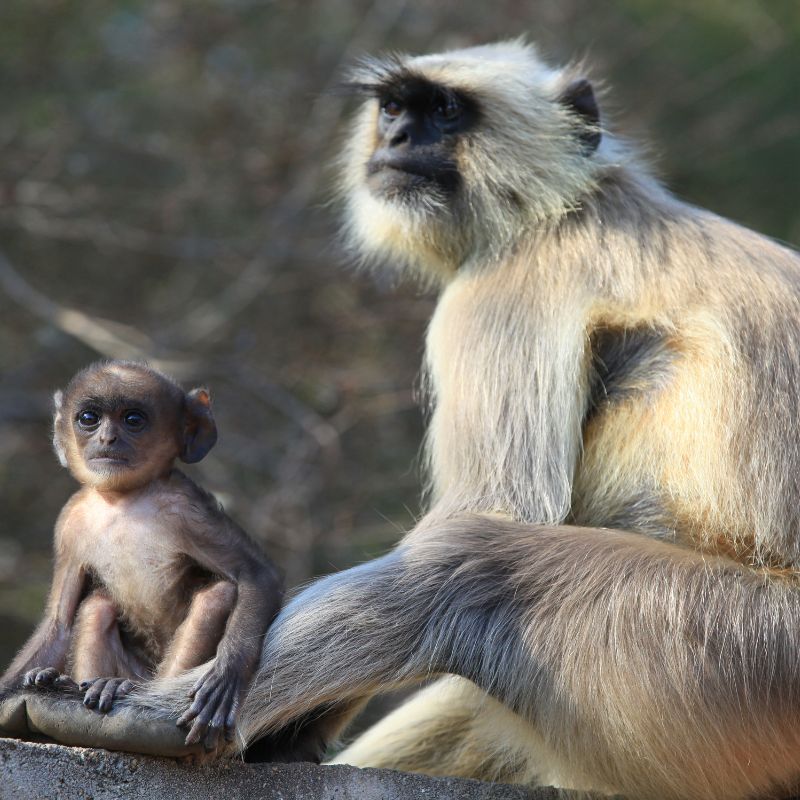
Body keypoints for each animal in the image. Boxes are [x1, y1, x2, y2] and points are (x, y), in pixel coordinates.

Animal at [0, 362, 282, 752]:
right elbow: (59, 620)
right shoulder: (70, 522)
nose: (107, 439)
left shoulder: (186, 505)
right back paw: (83, 685)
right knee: (96, 605)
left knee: (218, 594)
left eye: (133, 419)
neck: (123, 500)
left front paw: (227, 676)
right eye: (89, 418)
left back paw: (132, 695)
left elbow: (255, 573)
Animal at [130, 42, 800, 800]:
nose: (396, 139)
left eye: (446, 111)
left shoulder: (510, 284)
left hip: (729, 652)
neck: (569, 203)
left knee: (468, 567)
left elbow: (495, 509)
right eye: (395, 107)